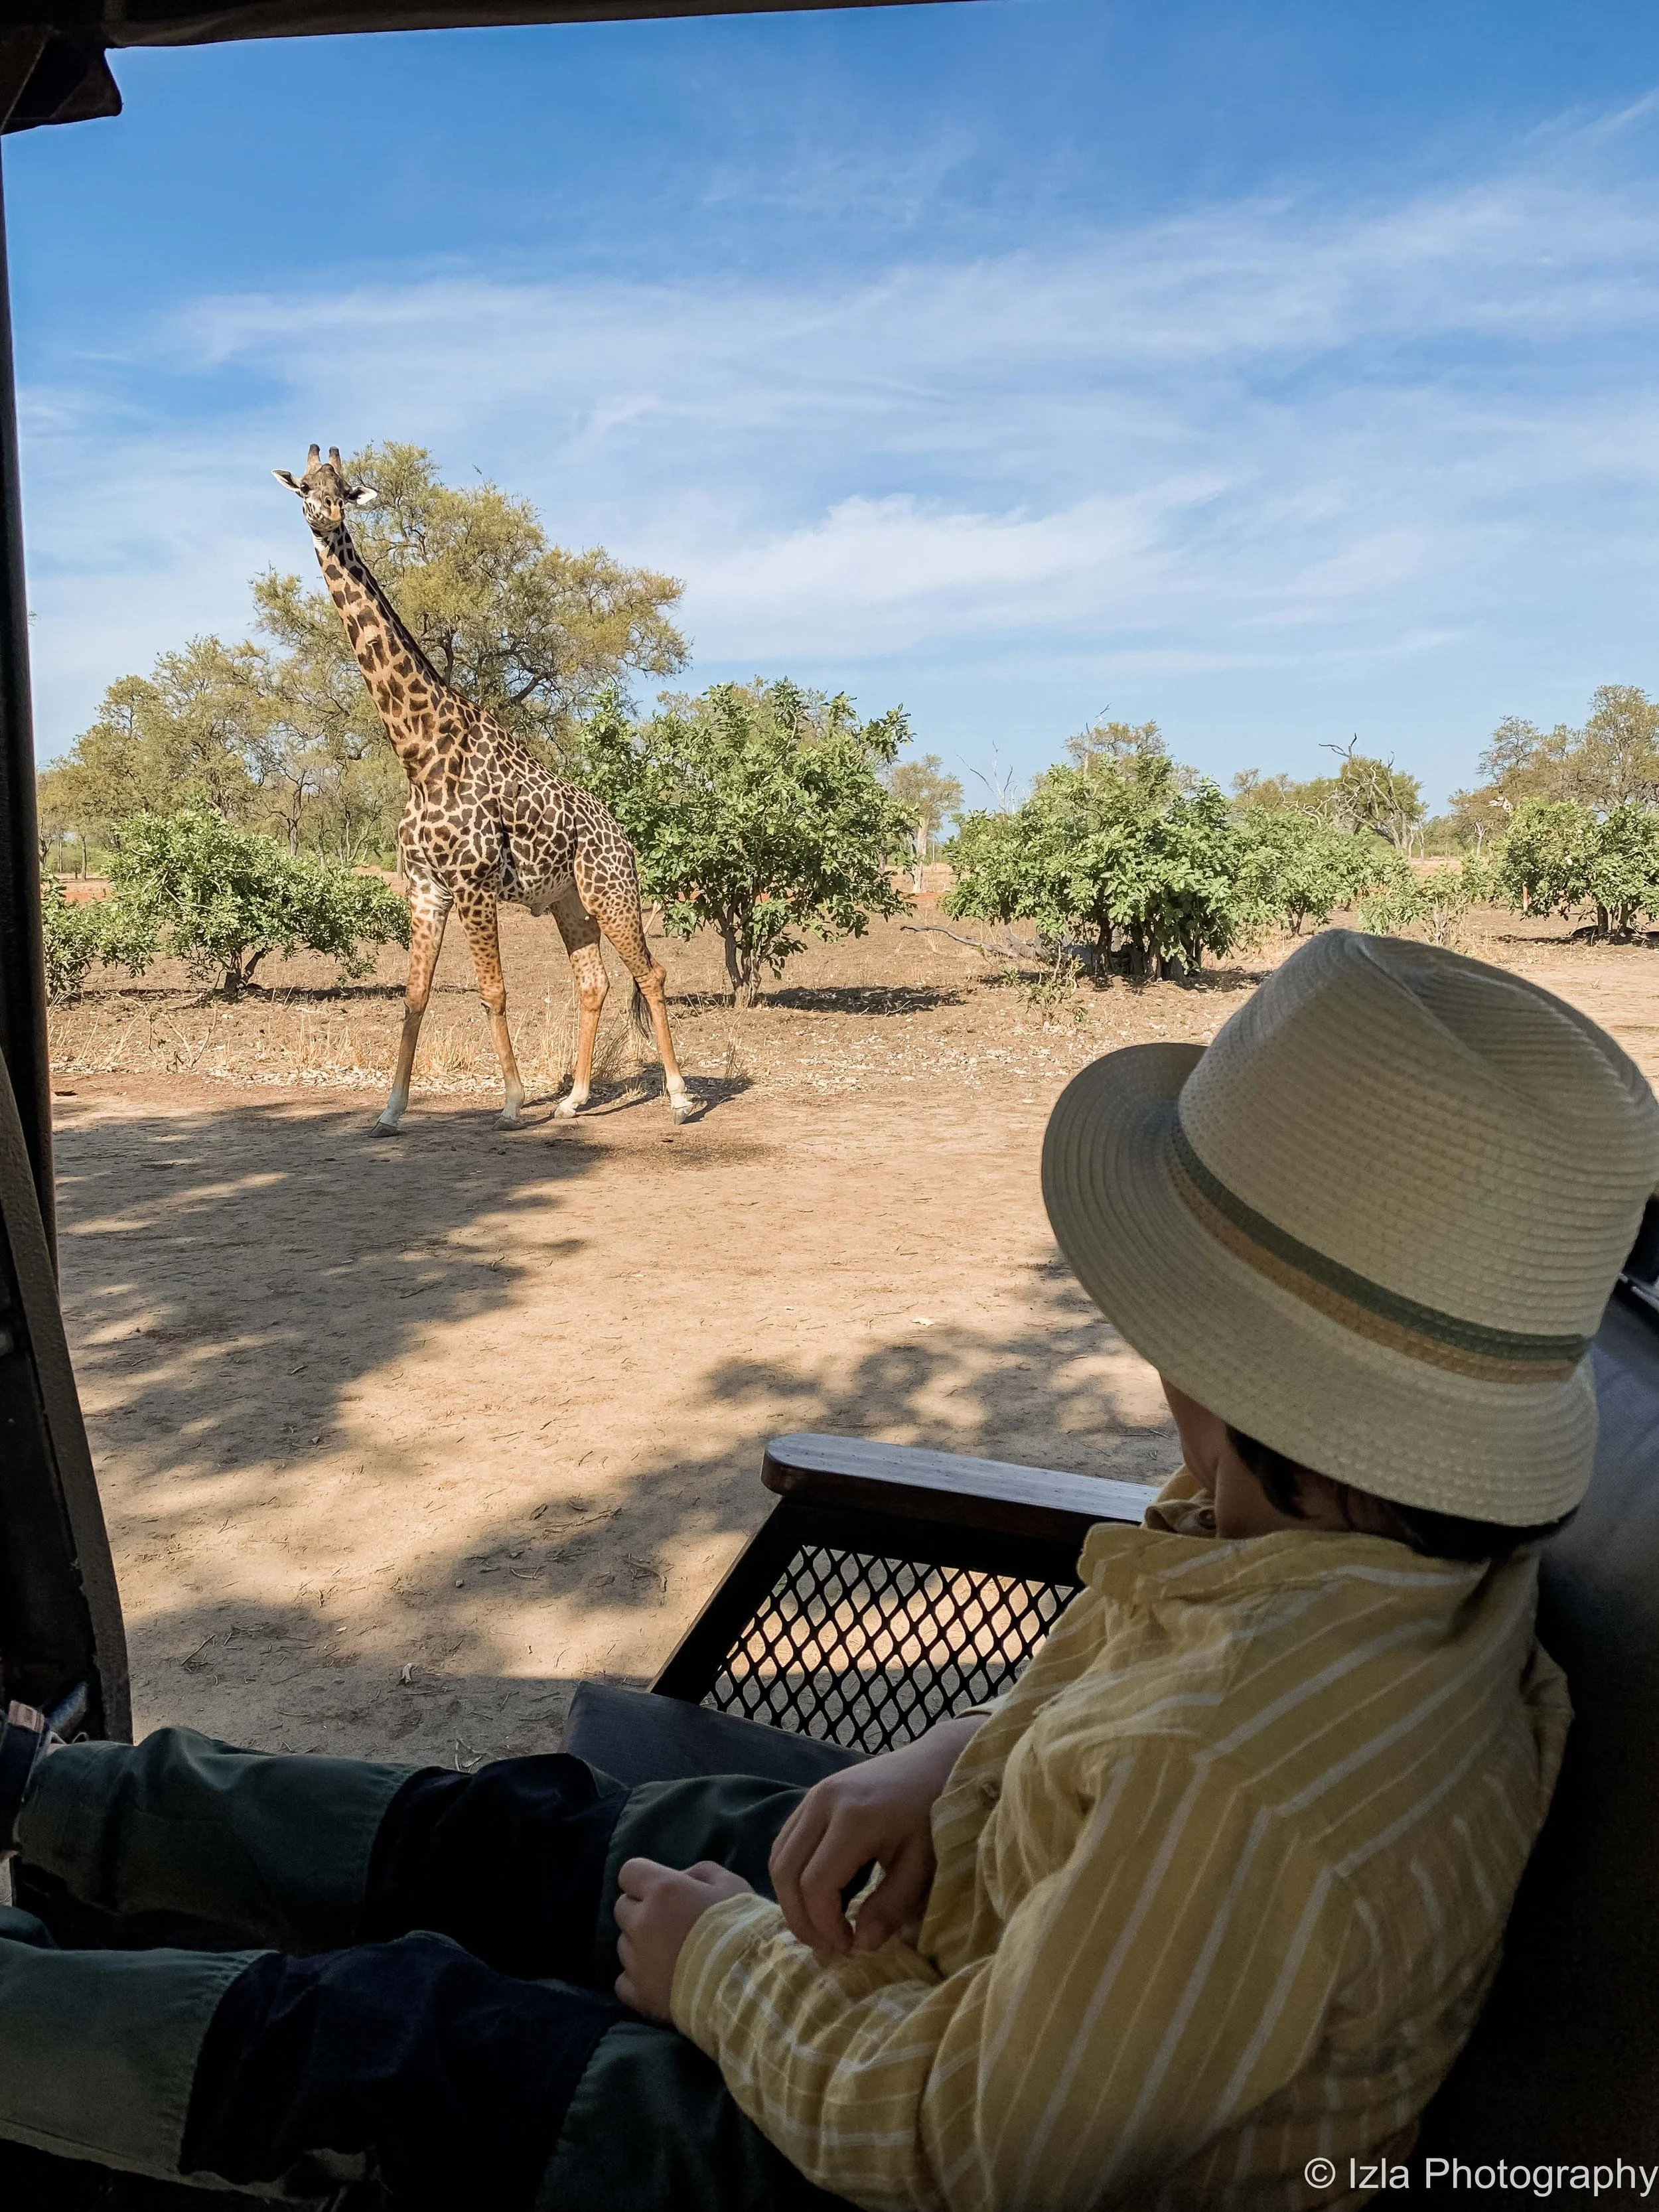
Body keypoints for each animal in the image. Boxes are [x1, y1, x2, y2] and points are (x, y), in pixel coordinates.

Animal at [273, 446, 692, 1135]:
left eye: (347, 488)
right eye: (304, 486)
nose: (324, 514)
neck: (419, 755)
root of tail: (622, 836)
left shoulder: (472, 883)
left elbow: (492, 990)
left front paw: (514, 1103)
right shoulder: (425, 888)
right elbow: (414, 996)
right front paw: (390, 1111)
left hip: (611, 892)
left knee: (652, 973)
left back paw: (681, 1097)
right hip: (569, 902)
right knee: (595, 983)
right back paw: (575, 1098)